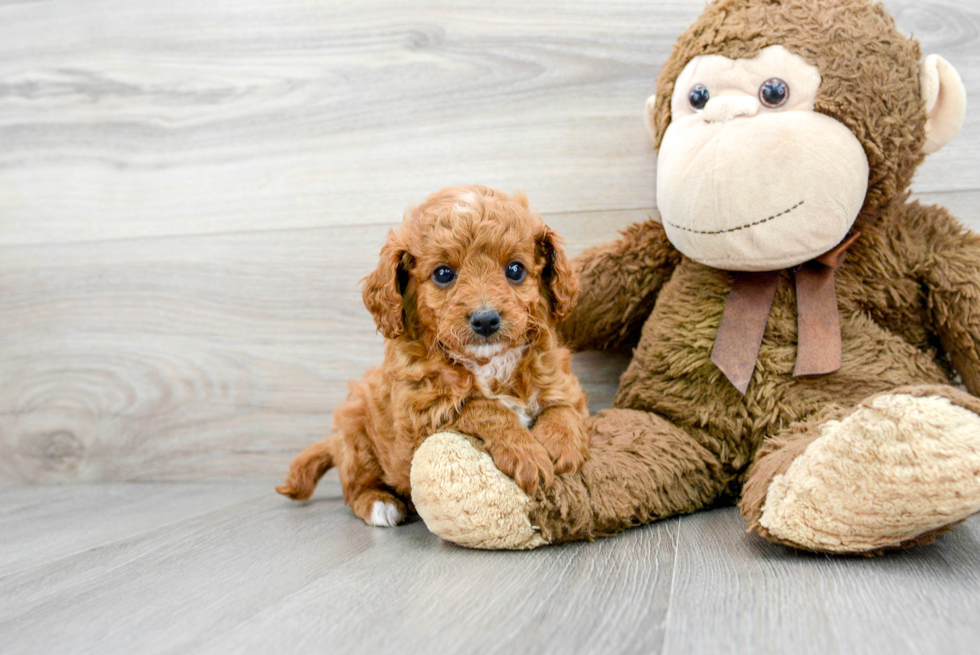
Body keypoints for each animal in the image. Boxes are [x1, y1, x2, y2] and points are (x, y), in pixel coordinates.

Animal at [276, 186, 588, 528]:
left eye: (515, 270)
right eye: (443, 274)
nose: (485, 320)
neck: (489, 363)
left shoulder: (557, 376)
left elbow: (563, 407)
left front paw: (561, 447)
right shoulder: (422, 415)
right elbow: (484, 408)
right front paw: (527, 454)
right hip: (356, 432)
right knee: (354, 485)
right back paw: (380, 503)